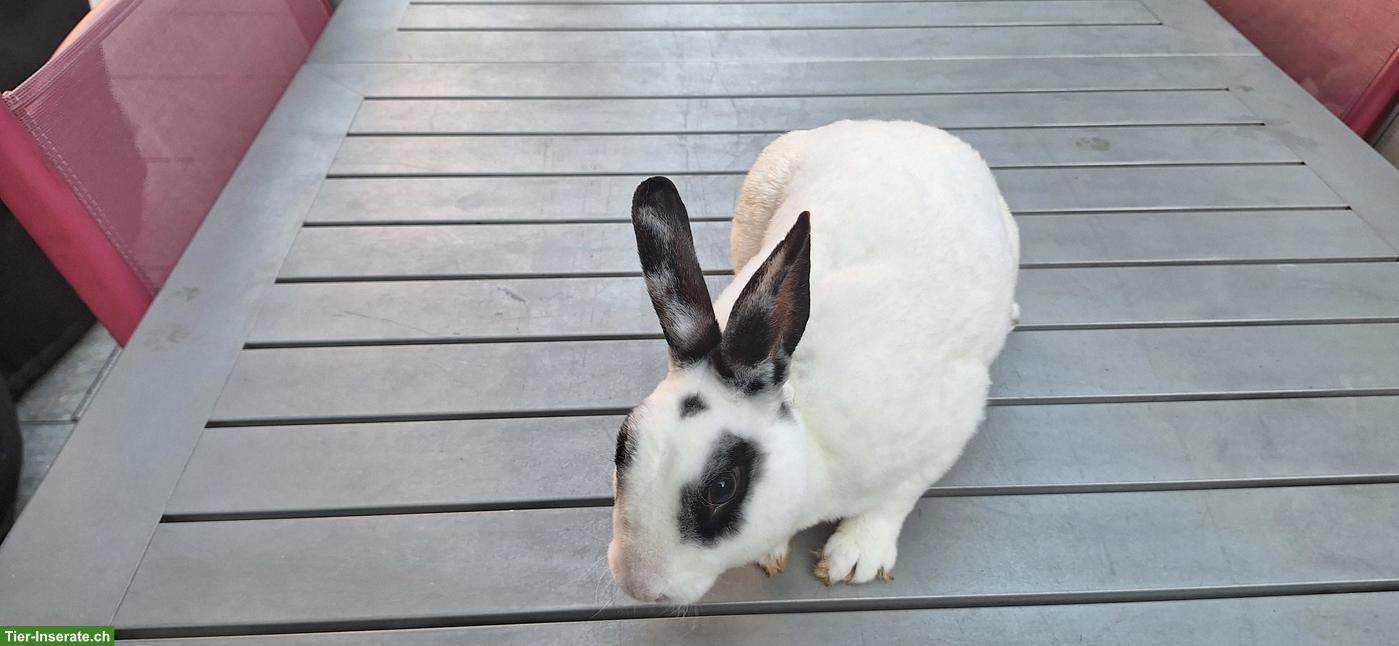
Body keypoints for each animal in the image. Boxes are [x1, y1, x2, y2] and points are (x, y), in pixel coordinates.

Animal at [608, 120, 1019, 605]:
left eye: (723, 486)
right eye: (622, 445)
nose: (639, 585)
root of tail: (910, 129)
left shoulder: (949, 426)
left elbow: (896, 497)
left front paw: (856, 557)